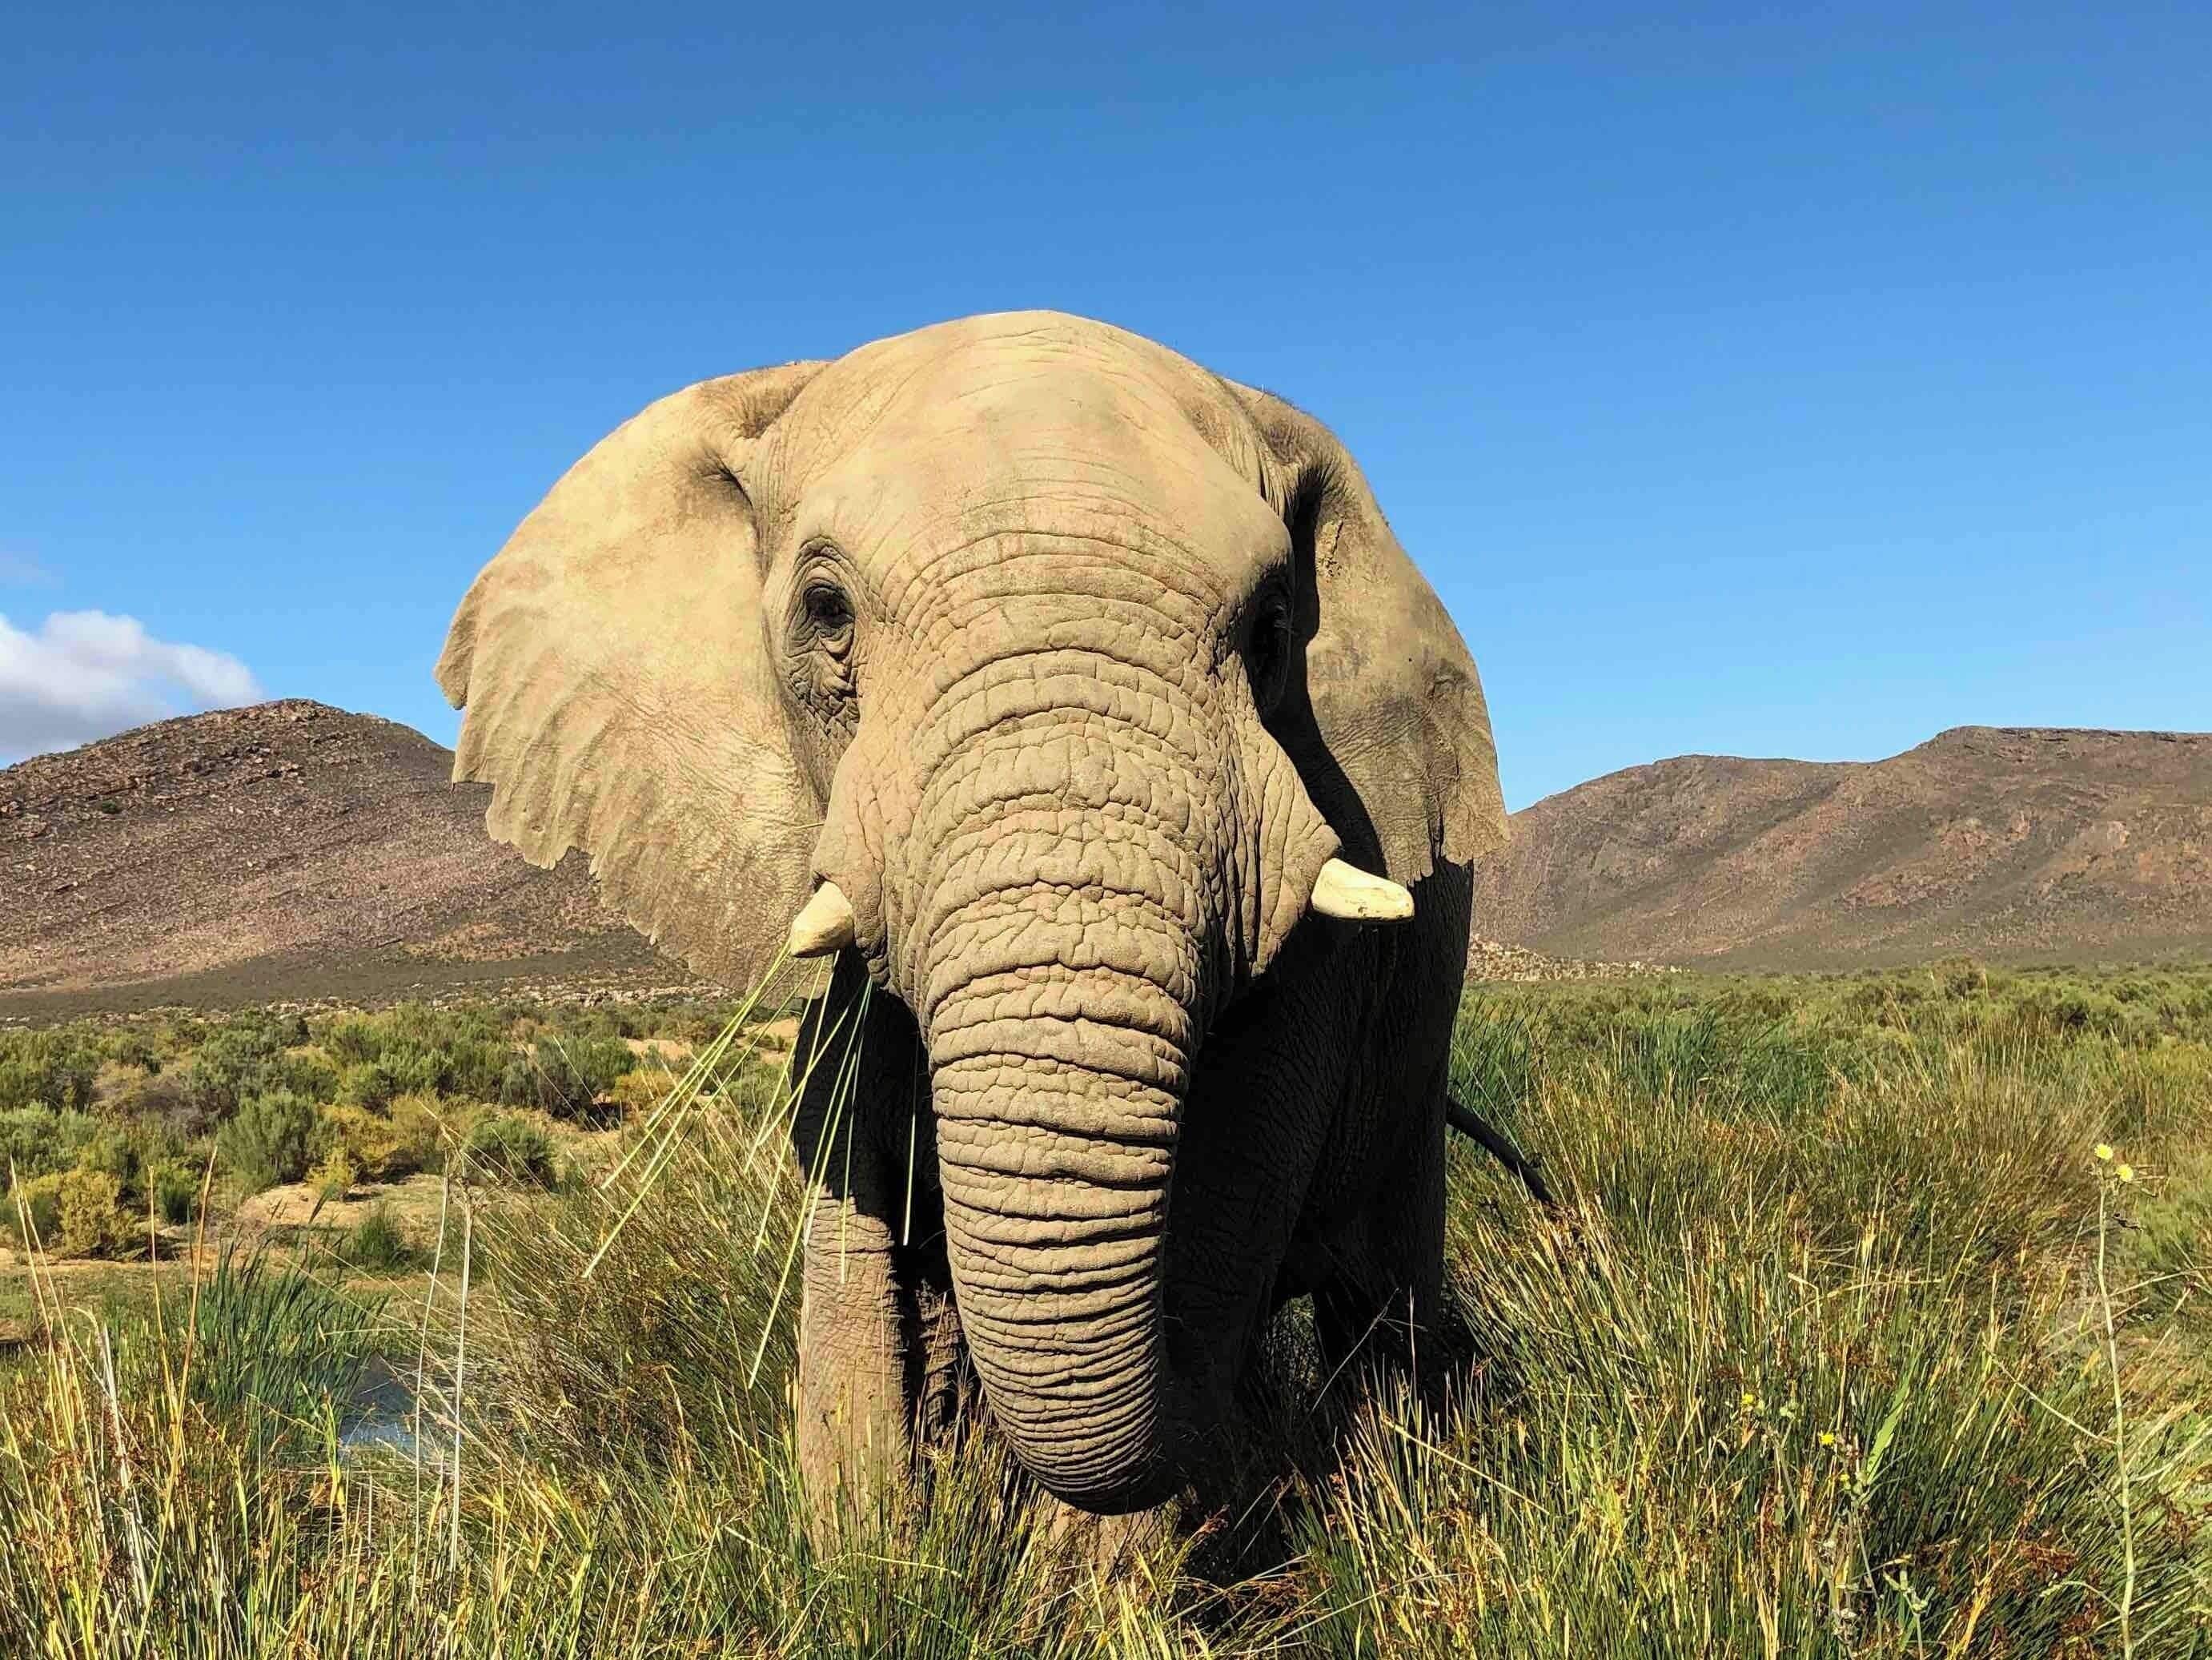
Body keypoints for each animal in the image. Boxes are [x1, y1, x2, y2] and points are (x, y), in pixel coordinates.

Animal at [435, 311, 1507, 1519]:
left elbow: (1224, 1208)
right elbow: (852, 1227)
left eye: (1274, 627)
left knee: (1382, 1295)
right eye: (826, 612)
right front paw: (875, 1538)